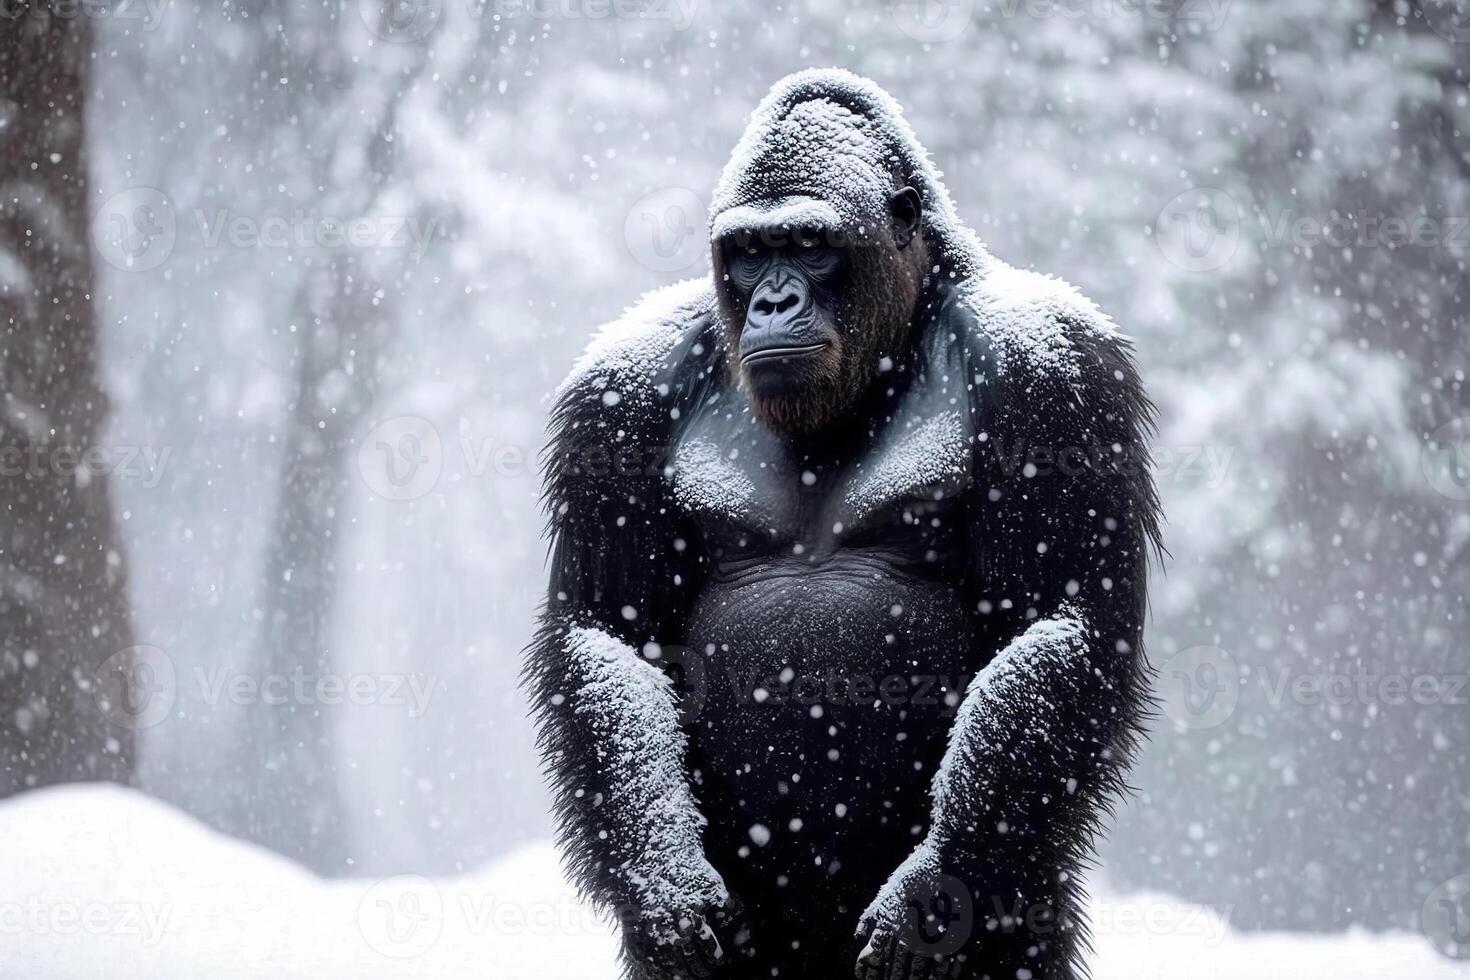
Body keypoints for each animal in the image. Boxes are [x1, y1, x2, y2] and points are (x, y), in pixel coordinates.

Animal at [526, 70, 1158, 980]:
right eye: (750, 252)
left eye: (808, 242)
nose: (773, 300)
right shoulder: (617, 392)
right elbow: (609, 632)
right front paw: (665, 883)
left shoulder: (1055, 371)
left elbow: (1057, 622)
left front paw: (930, 896)